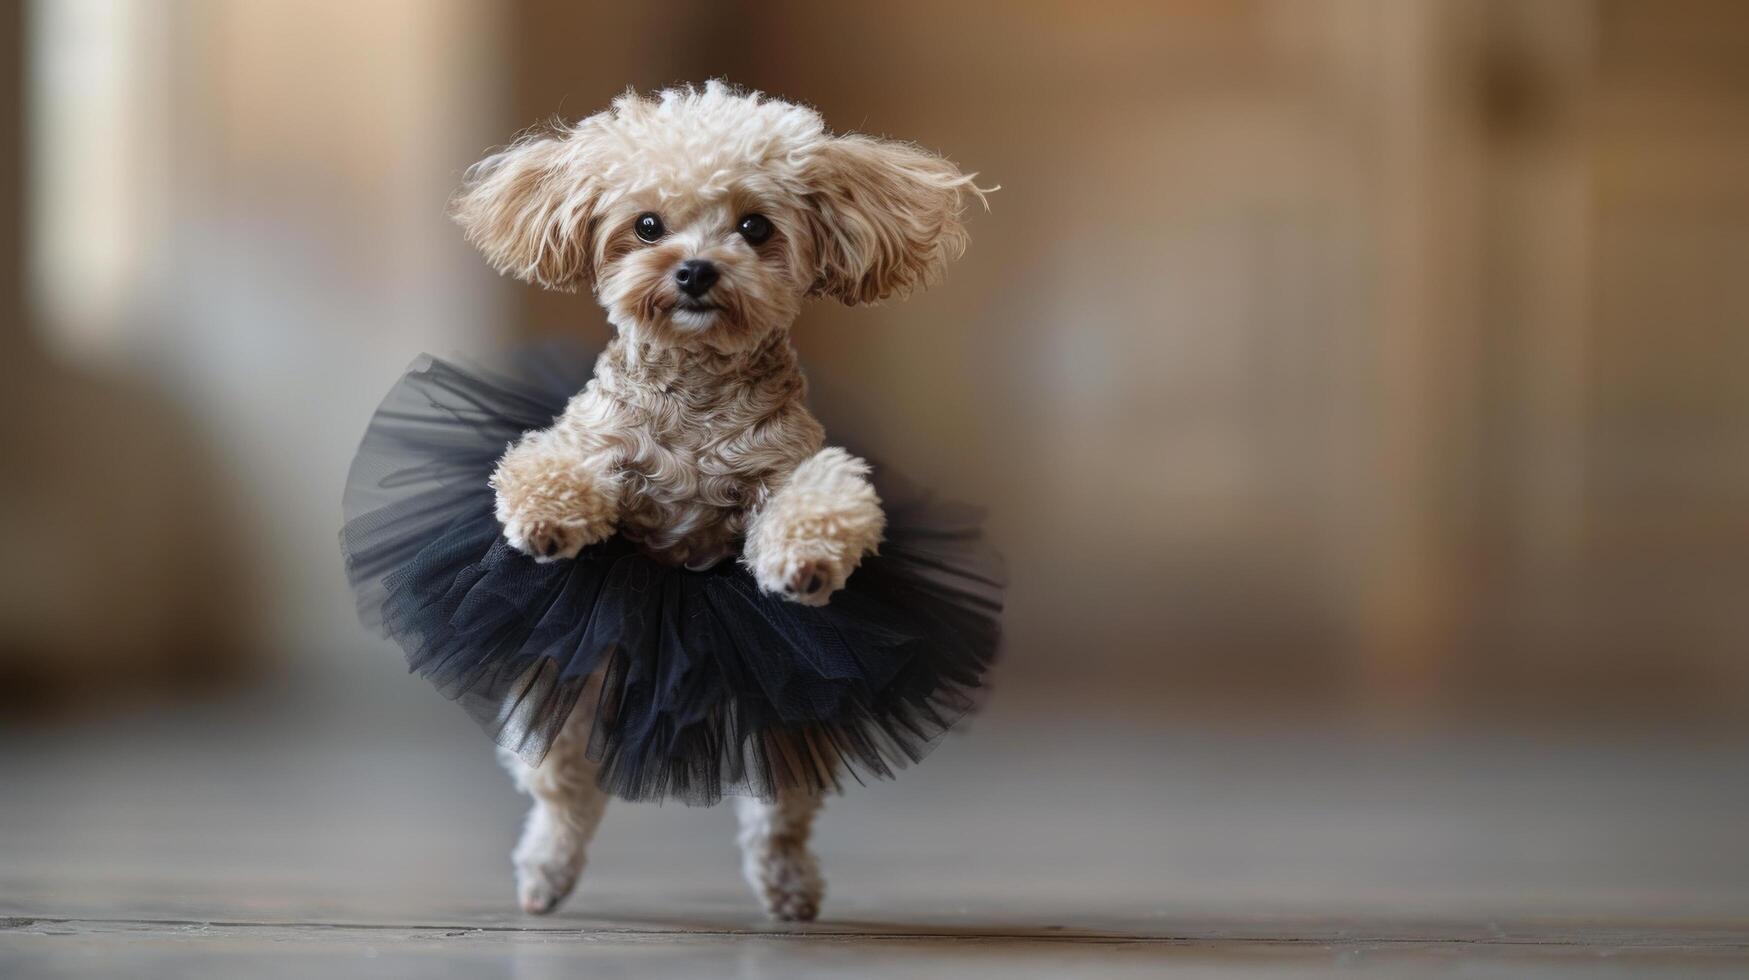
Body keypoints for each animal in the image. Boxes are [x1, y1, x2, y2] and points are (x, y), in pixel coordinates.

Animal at [447, 82, 986, 917]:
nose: (695, 270)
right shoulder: (594, 445)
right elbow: (552, 465)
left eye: (754, 227)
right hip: (566, 692)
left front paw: (804, 559)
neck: (696, 388)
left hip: (785, 710)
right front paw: (545, 518)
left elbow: (821, 501)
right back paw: (543, 876)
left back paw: (788, 887)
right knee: (564, 791)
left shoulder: (790, 468)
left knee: (779, 809)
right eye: (646, 225)